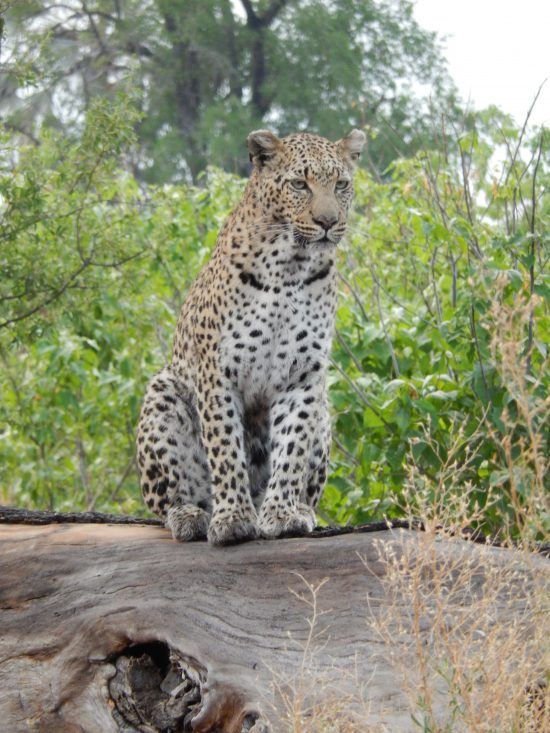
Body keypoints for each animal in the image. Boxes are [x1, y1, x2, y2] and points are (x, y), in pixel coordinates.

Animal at [136, 127, 366, 544]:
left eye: (341, 184)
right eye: (299, 185)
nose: (329, 222)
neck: (291, 267)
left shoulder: (302, 374)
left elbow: (292, 447)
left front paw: (282, 514)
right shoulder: (216, 372)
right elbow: (226, 448)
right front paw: (233, 520)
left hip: (325, 414)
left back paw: (298, 510)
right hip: (162, 393)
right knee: (167, 500)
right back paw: (191, 515)